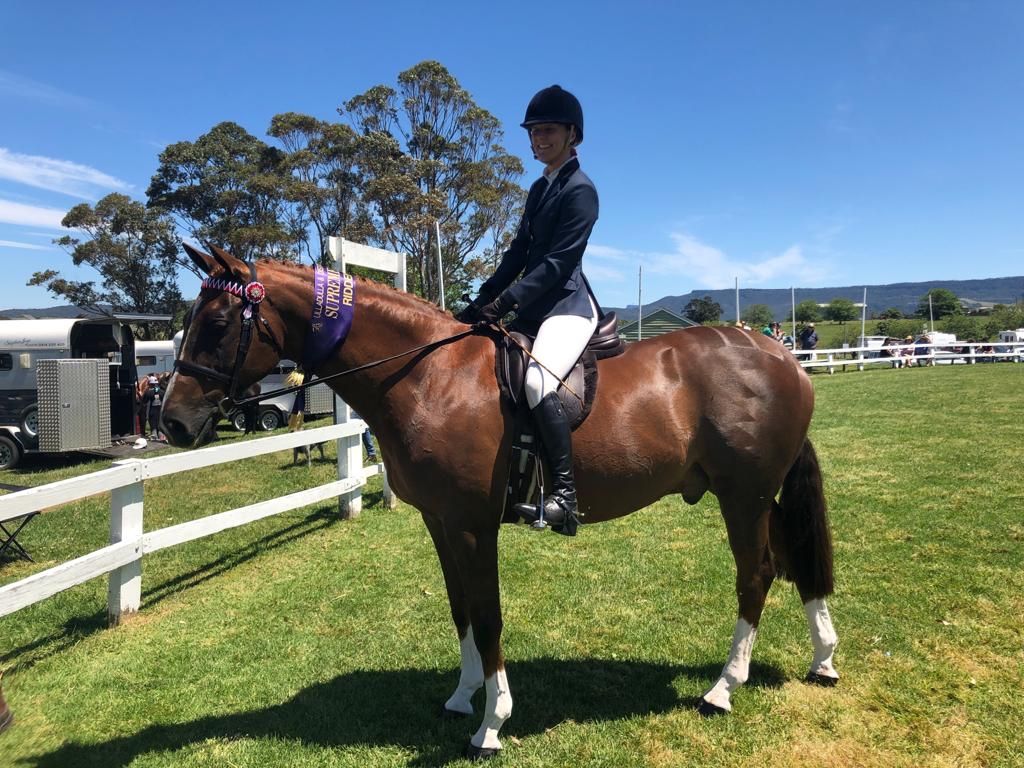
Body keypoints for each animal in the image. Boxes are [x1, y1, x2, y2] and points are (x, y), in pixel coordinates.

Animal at [161, 244, 839, 759]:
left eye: (217, 325)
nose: (171, 422)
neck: (427, 376)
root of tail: (780, 356)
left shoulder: (472, 525)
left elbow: (487, 615)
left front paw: (492, 723)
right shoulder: (440, 522)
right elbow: (459, 609)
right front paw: (462, 698)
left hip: (744, 496)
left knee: (757, 574)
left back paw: (723, 688)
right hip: (758, 495)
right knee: (793, 563)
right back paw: (822, 660)